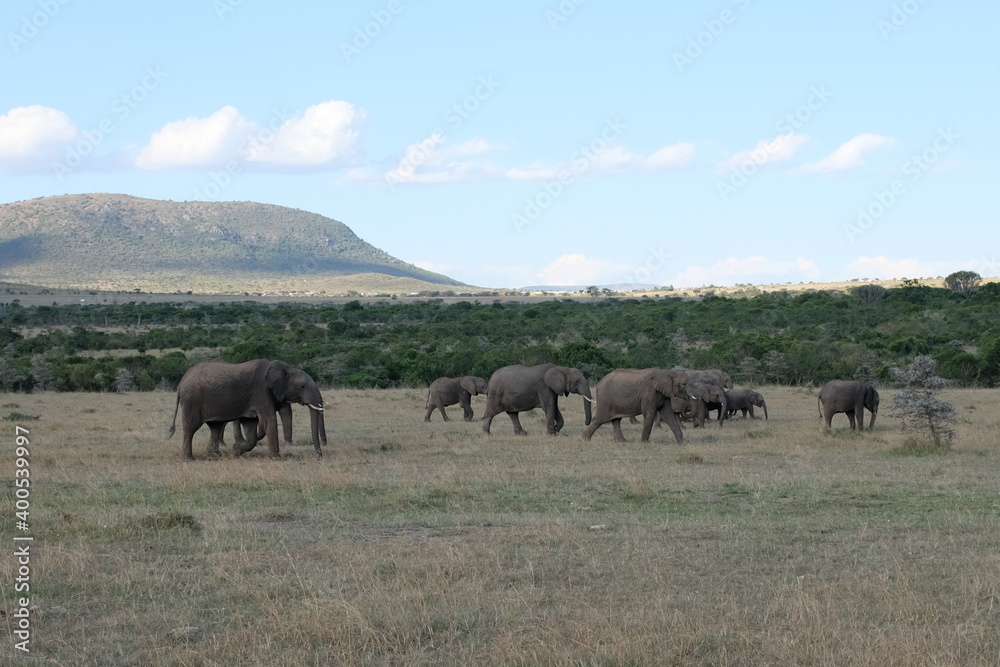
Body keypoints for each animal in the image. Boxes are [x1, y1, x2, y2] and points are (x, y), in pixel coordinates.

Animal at [168, 359, 327, 460]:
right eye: (302, 387)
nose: (319, 456)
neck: (286, 369)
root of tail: (182, 381)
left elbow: (250, 428)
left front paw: (236, 450)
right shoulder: (262, 392)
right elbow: (269, 421)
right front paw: (278, 458)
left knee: (215, 427)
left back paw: (215, 457)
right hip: (192, 400)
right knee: (190, 428)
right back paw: (189, 459)